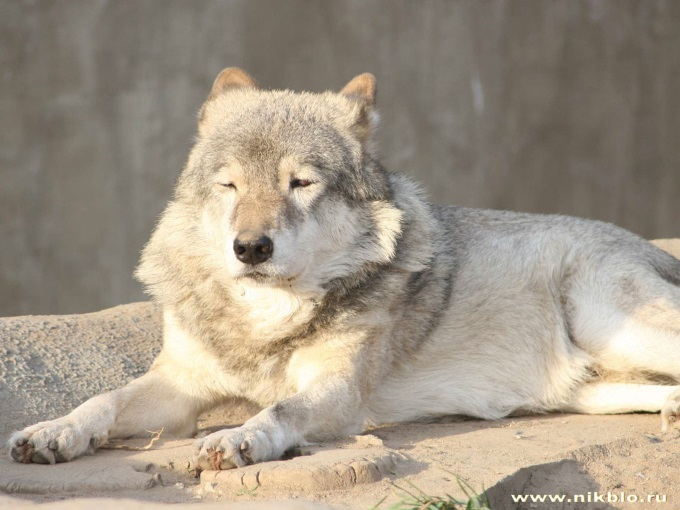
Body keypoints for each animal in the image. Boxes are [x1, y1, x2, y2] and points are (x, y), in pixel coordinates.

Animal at [7, 68, 680, 470]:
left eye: (300, 183)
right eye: (230, 185)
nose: (250, 248)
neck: (265, 316)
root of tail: (654, 248)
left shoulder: (337, 392)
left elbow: (279, 410)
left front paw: (236, 438)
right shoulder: (180, 384)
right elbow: (103, 399)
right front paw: (53, 432)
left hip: (607, 320)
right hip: (595, 388)